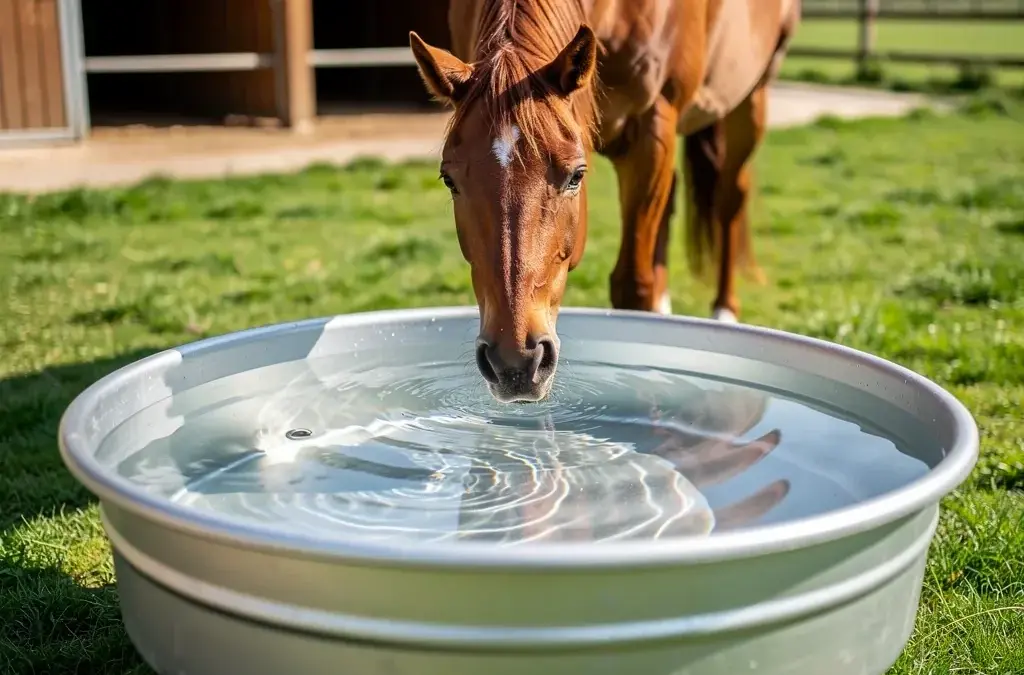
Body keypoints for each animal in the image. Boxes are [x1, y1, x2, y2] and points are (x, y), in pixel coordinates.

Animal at [409, 0, 800, 402]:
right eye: (449, 180)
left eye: (576, 176)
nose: (515, 362)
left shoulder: (652, 129)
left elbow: (633, 286)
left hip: (751, 97)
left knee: (729, 198)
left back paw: (724, 310)